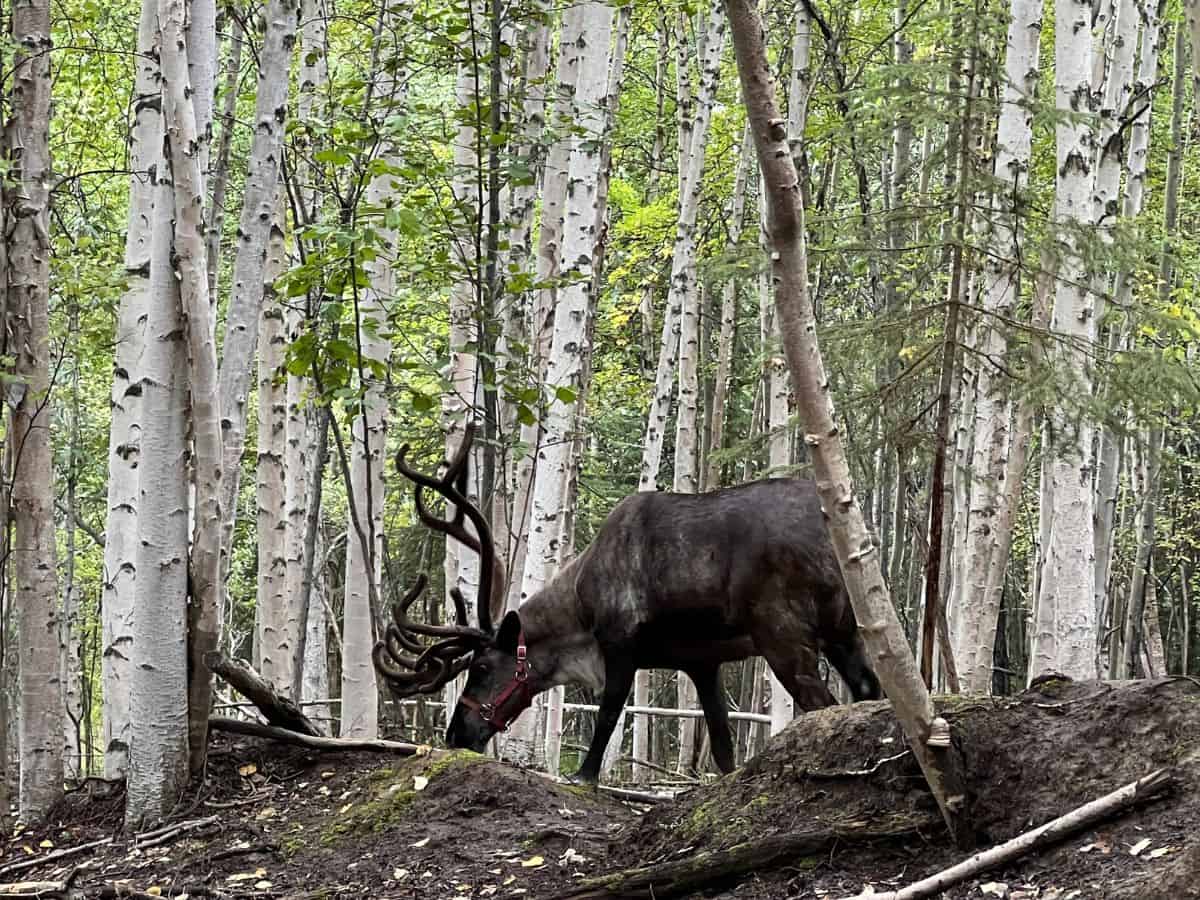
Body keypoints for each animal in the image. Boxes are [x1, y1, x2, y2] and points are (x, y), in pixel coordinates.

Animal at [372, 424, 882, 784]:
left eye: (480, 668)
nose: (456, 734)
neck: (578, 609)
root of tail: (841, 532)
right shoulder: (703, 662)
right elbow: (721, 747)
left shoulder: (619, 644)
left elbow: (608, 715)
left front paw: (584, 775)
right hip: (845, 628)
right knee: (868, 690)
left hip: (783, 634)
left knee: (822, 704)